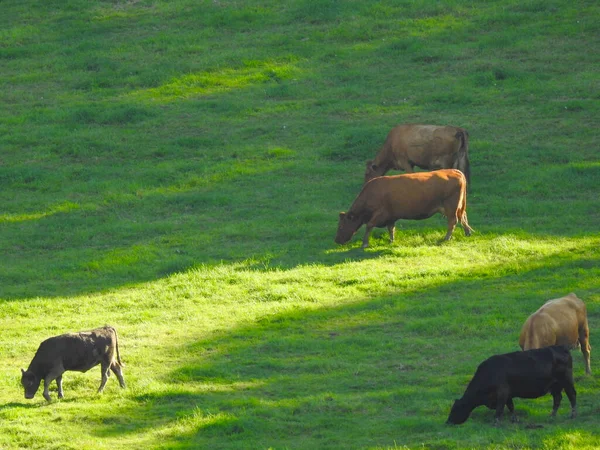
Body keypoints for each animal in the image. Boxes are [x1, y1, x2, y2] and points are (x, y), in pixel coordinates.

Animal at [336, 169, 472, 248]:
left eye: (341, 226)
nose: (336, 240)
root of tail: (455, 171)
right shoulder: (390, 216)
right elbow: (391, 229)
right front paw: (391, 241)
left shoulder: (380, 214)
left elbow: (369, 225)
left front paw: (365, 243)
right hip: (459, 207)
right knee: (463, 217)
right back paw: (467, 232)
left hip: (451, 207)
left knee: (453, 221)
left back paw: (446, 238)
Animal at [446, 344, 576, 426]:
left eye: (454, 409)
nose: (448, 422)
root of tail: (561, 347)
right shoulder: (508, 394)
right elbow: (511, 407)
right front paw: (514, 419)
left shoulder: (502, 393)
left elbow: (500, 409)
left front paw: (496, 422)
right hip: (555, 386)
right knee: (557, 399)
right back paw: (552, 416)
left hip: (566, 381)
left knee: (572, 395)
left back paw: (573, 415)